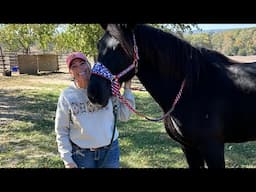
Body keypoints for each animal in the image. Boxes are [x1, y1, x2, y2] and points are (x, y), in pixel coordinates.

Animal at [87, 24, 256, 168]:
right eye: (98, 45)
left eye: (120, 47)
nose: (93, 93)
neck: (194, 88)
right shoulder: (188, 148)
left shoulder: (213, 148)